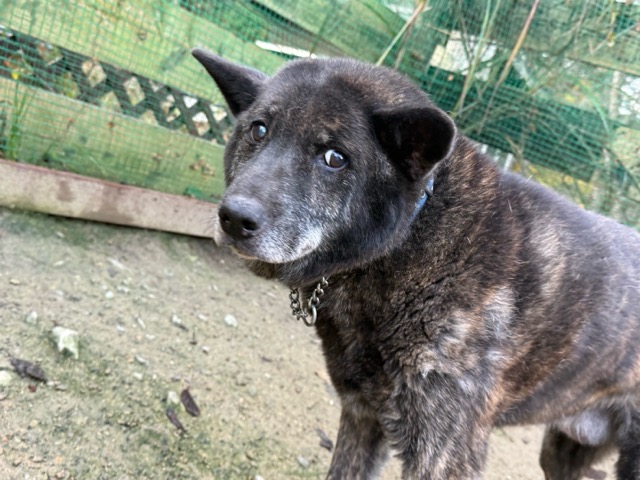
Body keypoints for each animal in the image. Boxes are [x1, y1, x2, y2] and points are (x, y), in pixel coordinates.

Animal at [192, 48, 640, 479]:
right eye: (258, 130)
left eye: (335, 157)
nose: (234, 218)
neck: (414, 236)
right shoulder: (363, 416)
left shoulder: (443, 454)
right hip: (562, 452)